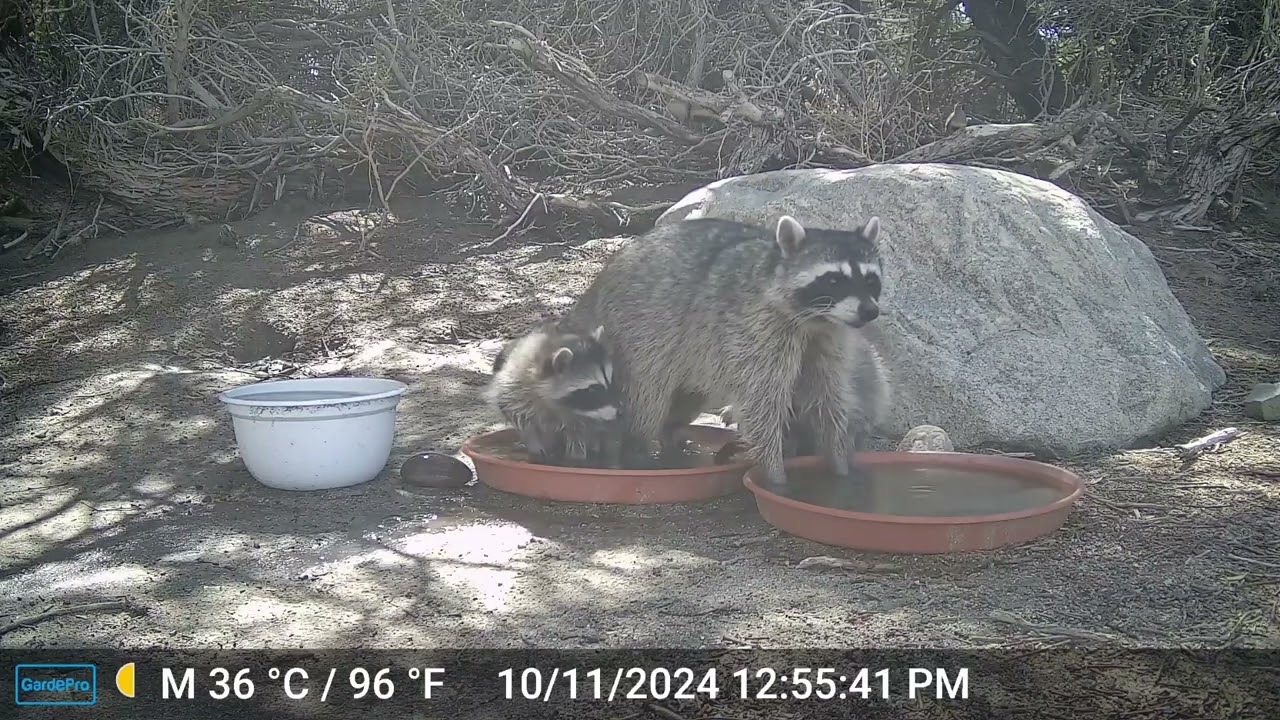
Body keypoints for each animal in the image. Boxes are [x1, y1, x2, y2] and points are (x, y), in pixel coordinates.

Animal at [483, 322, 620, 467]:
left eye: (612, 381)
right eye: (592, 390)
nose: (620, 411)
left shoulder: (583, 411)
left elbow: (579, 428)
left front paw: (577, 454)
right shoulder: (513, 387)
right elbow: (518, 417)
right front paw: (534, 444)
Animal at [562, 214, 884, 489]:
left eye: (871, 280)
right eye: (834, 279)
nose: (869, 311)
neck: (814, 320)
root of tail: (601, 280)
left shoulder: (827, 339)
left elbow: (827, 396)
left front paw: (840, 459)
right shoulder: (756, 332)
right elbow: (762, 404)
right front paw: (775, 471)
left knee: (686, 397)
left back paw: (671, 431)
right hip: (639, 333)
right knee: (647, 399)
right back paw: (637, 449)